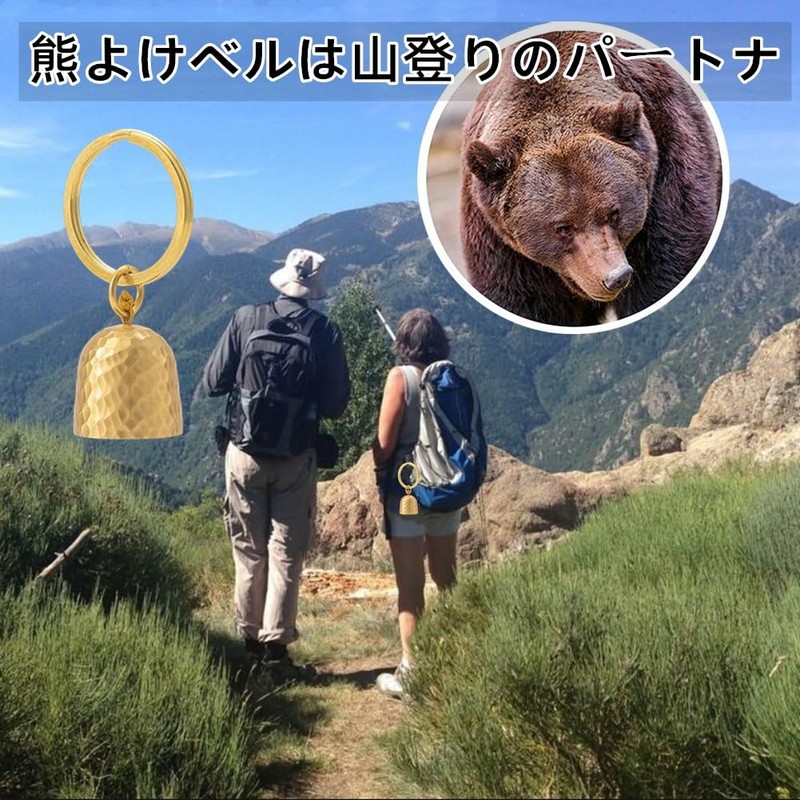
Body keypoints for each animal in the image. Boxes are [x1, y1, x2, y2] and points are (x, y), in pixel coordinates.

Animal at [460, 30, 722, 327]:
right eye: (562, 227)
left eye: (614, 213)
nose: (615, 277)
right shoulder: (497, 239)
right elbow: (520, 300)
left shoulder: (669, 164)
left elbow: (664, 270)